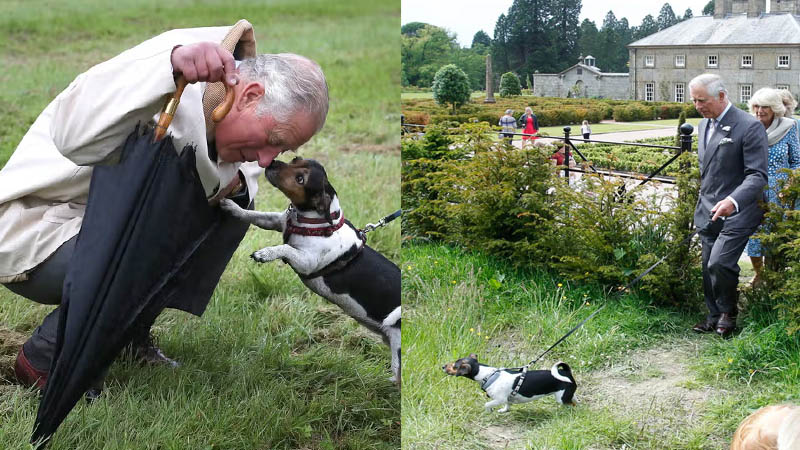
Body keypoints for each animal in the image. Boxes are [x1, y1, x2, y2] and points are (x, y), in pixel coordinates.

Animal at [220, 156, 400, 384]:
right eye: (295, 160)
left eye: (300, 179)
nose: (273, 162)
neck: (316, 221)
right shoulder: (276, 221)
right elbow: (254, 215)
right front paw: (232, 207)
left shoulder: (306, 261)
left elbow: (285, 247)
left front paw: (265, 253)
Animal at [444, 354, 576, 414]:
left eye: (455, 366)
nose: (443, 366)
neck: (489, 375)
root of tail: (566, 372)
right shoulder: (507, 399)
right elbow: (507, 405)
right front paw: (504, 411)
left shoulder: (499, 399)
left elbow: (487, 404)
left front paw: (488, 411)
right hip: (568, 395)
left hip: (561, 398)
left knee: (571, 405)